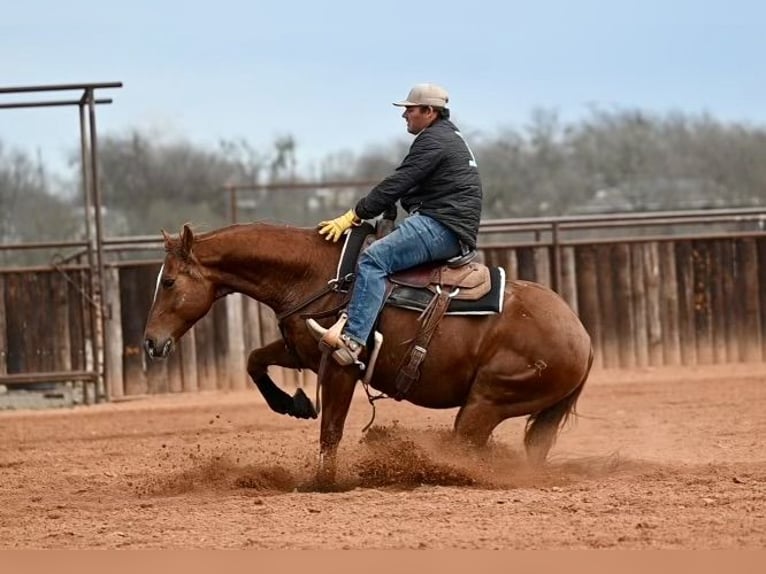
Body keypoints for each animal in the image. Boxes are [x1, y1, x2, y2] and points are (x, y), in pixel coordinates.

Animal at [143, 222, 593, 486]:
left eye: (168, 282)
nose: (150, 342)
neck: (320, 275)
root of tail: (582, 337)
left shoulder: (340, 367)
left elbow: (331, 429)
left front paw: (323, 482)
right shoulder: (304, 351)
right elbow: (255, 359)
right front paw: (293, 404)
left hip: (486, 401)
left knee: (465, 447)